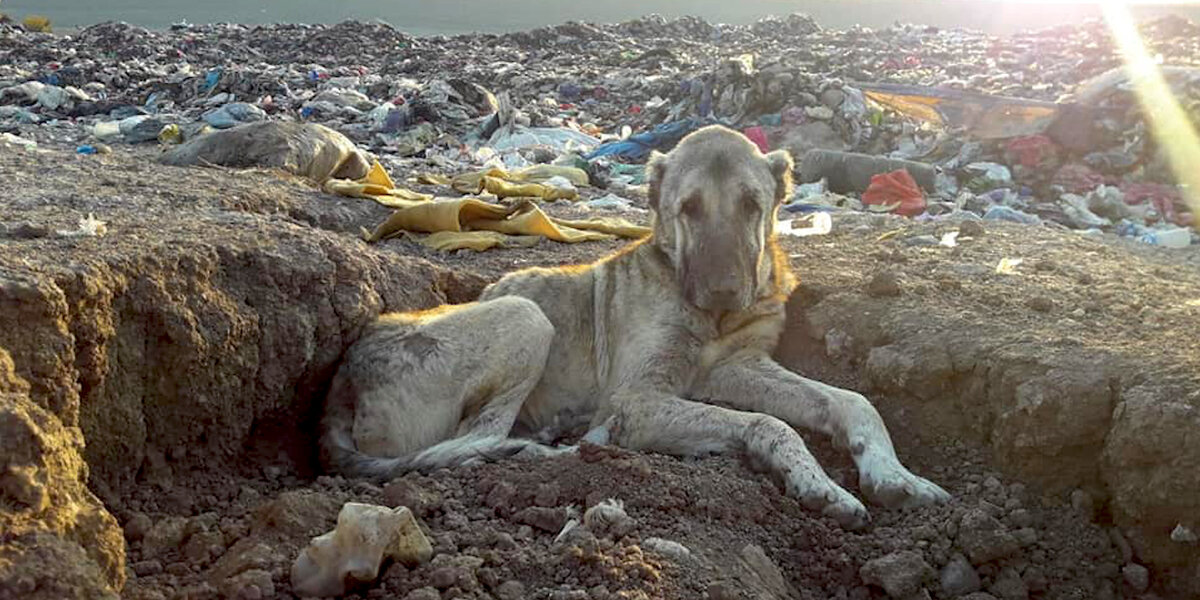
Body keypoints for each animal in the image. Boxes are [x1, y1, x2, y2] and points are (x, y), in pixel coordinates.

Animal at [319, 124, 945, 528]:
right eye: (688, 208)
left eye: (752, 204)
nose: (724, 291)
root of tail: (341, 384)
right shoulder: (638, 401)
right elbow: (769, 423)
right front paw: (820, 485)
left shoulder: (738, 366)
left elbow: (851, 400)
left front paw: (895, 475)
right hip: (525, 316)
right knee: (478, 438)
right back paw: (557, 448)